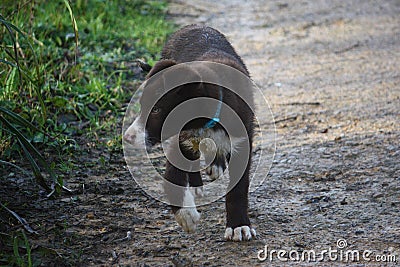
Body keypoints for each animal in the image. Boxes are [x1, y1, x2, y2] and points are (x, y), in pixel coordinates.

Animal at [124, 25, 256, 242]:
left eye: (156, 110)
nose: (127, 137)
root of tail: (193, 26)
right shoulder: (180, 139)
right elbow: (171, 177)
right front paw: (186, 216)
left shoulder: (242, 140)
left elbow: (238, 188)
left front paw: (238, 226)